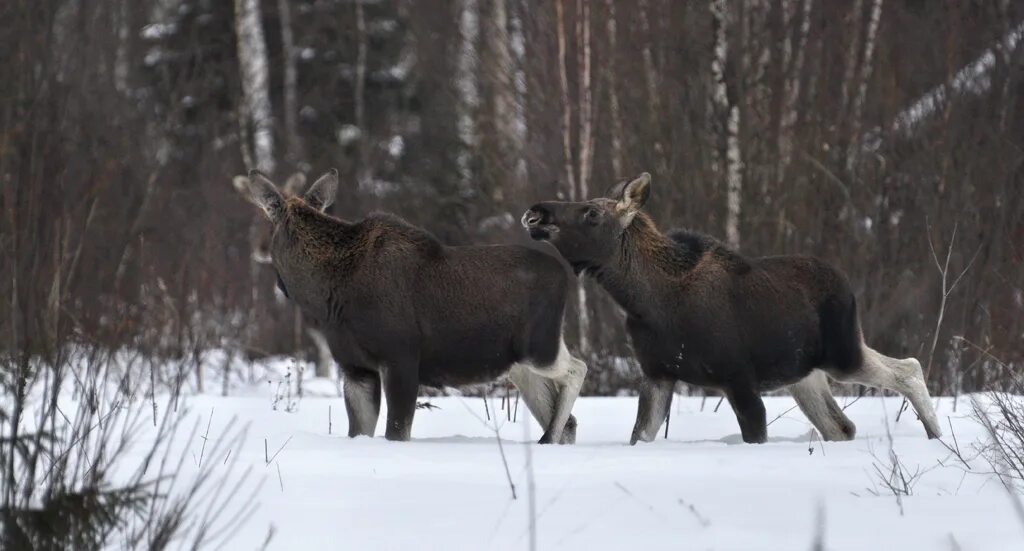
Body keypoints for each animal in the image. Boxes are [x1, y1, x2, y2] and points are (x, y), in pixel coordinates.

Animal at [232, 168, 585, 440]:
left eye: (265, 221)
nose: (258, 249)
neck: (325, 295)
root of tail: (565, 277)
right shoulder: (355, 367)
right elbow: (360, 431)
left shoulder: (400, 357)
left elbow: (397, 432)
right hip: (521, 366)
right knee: (568, 420)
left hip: (540, 347)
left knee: (577, 369)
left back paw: (546, 438)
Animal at [524, 172, 937, 442]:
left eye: (592, 213)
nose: (537, 212)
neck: (645, 301)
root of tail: (847, 284)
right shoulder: (658, 374)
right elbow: (641, 434)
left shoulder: (737, 378)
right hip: (806, 374)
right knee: (841, 426)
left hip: (842, 355)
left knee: (908, 369)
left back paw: (936, 435)